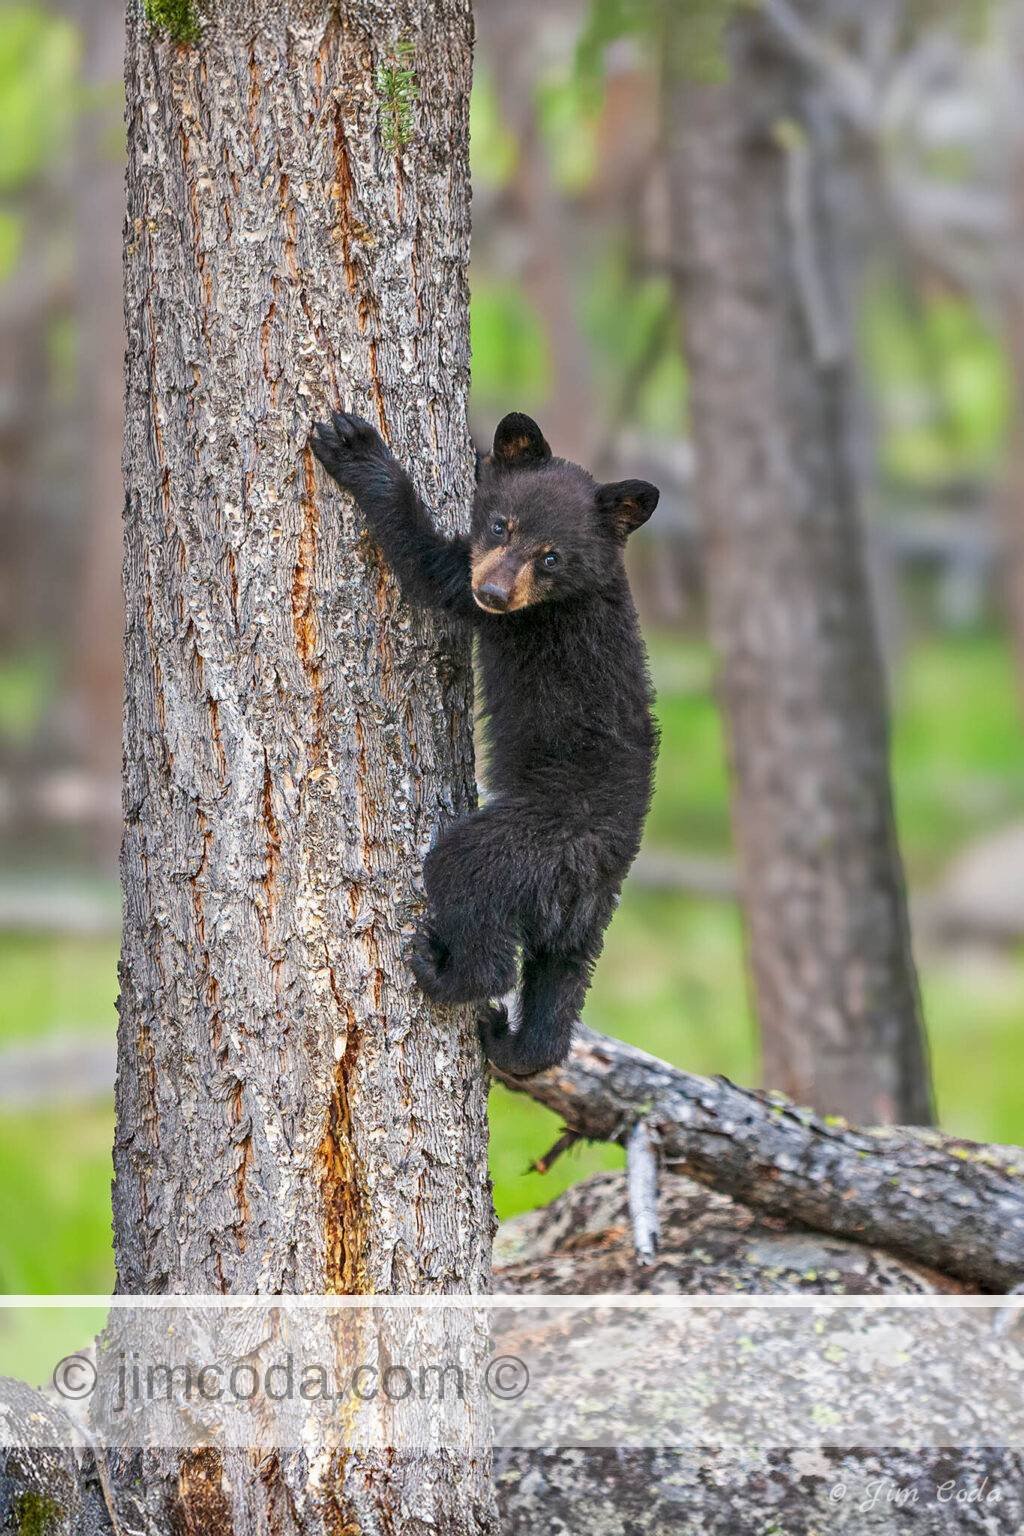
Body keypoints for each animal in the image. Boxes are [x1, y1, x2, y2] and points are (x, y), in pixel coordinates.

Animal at [311, 408, 659, 1076]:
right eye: (501, 524)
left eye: (551, 556)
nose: (495, 593)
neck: (582, 589)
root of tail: (596, 869)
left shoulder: (504, 610)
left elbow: (429, 568)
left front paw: (356, 450)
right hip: (584, 922)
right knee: (560, 981)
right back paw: (515, 1044)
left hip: (519, 846)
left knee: (472, 894)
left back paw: (445, 974)